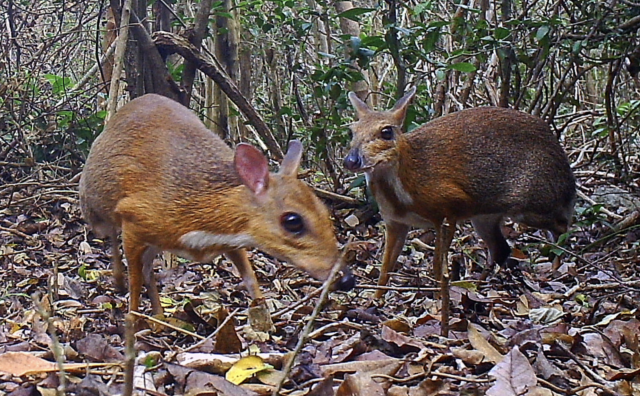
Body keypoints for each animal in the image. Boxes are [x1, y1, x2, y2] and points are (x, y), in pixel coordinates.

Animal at [344, 87, 576, 334]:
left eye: (387, 132)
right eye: (352, 131)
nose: (351, 160)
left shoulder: (449, 207)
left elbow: (437, 265)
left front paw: (439, 301)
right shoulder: (395, 221)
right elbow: (386, 266)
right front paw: (374, 300)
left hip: (533, 204)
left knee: (563, 226)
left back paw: (556, 268)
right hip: (485, 217)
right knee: (501, 249)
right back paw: (477, 286)